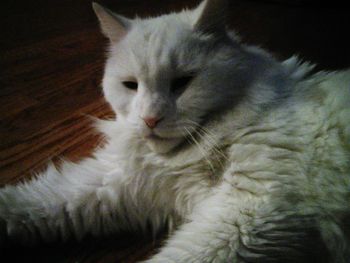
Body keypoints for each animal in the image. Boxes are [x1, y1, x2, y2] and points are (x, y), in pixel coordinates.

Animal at [0, 0, 350, 262]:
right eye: (130, 85)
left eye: (182, 83)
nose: (150, 119)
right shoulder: (115, 182)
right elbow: (36, 201)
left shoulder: (249, 213)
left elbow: (178, 257)